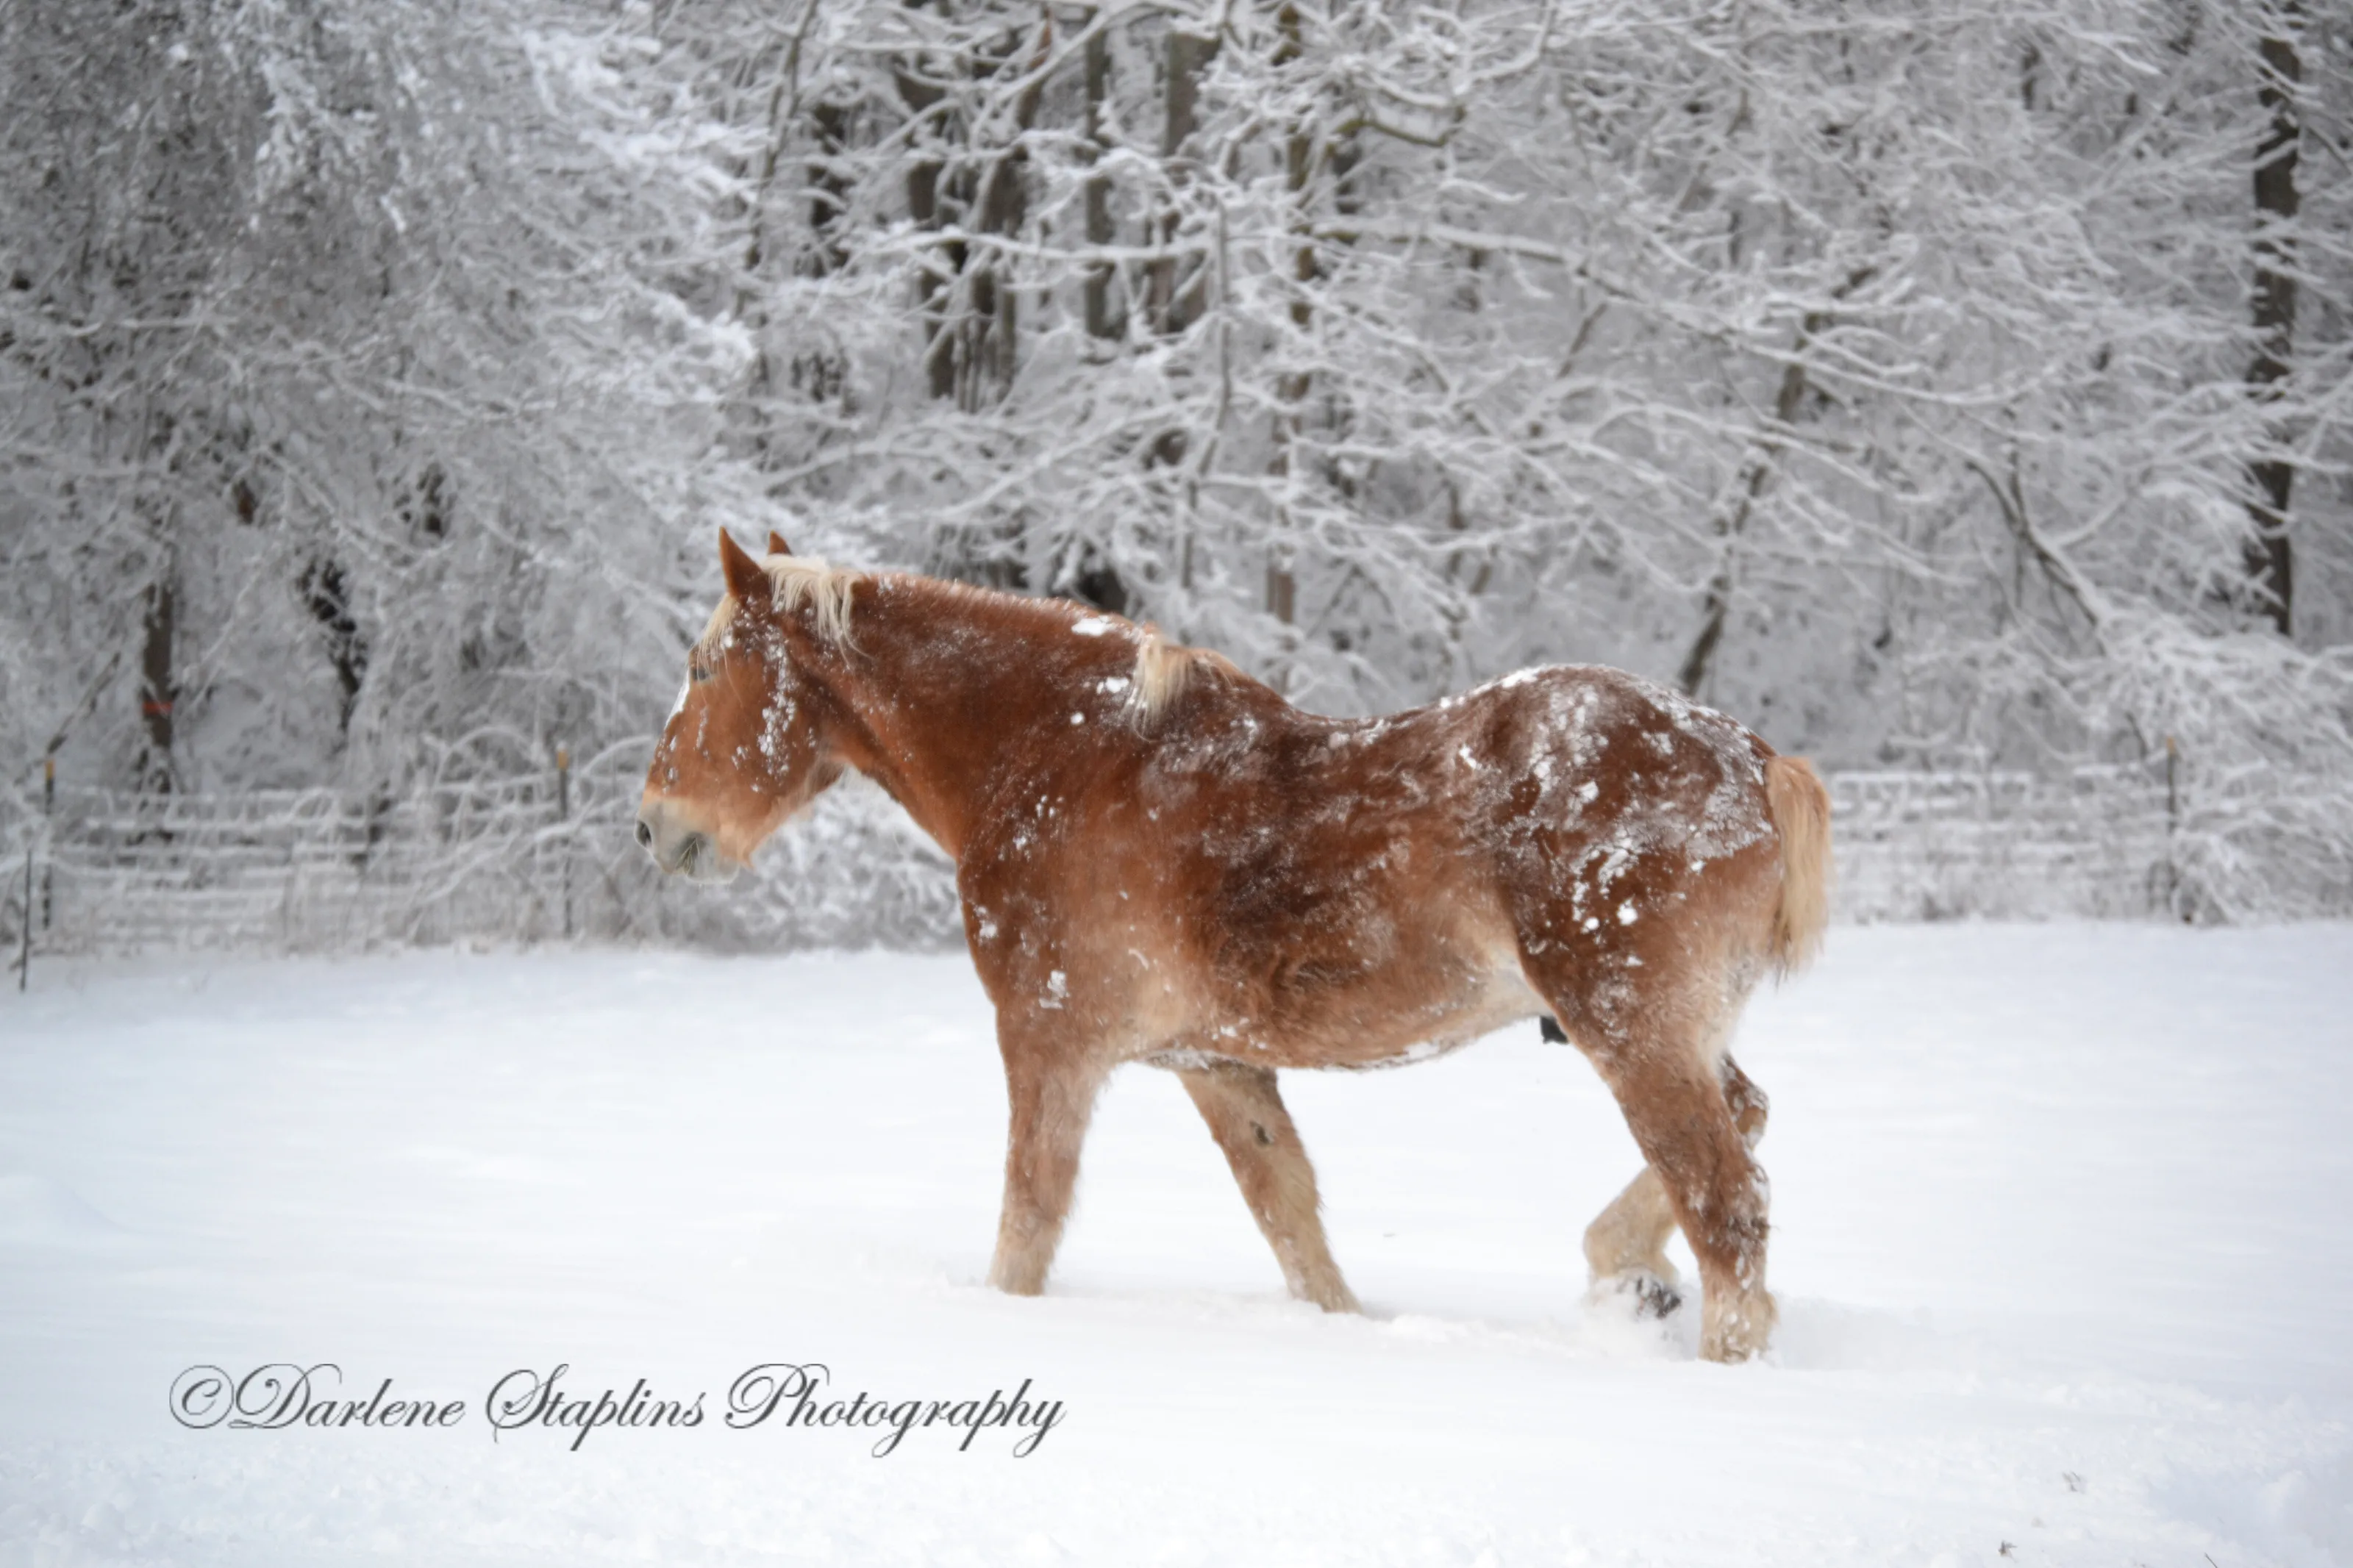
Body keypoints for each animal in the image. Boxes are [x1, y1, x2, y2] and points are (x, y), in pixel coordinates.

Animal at [638, 530, 1831, 1362]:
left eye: (699, 670)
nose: (654, 827)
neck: (1053, 761)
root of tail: (1752, 758)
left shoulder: (1048, 1046)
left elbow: (1028, 1226)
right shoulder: (1217, 1067)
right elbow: (1292, 1223)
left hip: (1629, 1033)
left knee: (1727, 1205)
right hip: (1666, 1034)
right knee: (1747, 1129)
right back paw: (1631, 1277)